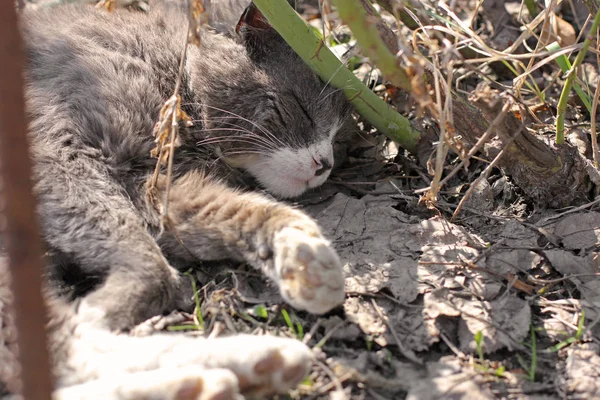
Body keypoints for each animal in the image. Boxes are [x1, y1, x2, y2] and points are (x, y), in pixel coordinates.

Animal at [0, 0, 354, 396]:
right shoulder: (55, 153)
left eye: (337, 137)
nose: (326, 163)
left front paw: (303, 252)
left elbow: (239, 209)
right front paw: (100, 309)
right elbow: (145, 260)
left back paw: (253, 366)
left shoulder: (155, 190)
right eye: (301, 109)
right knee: (57, 347)